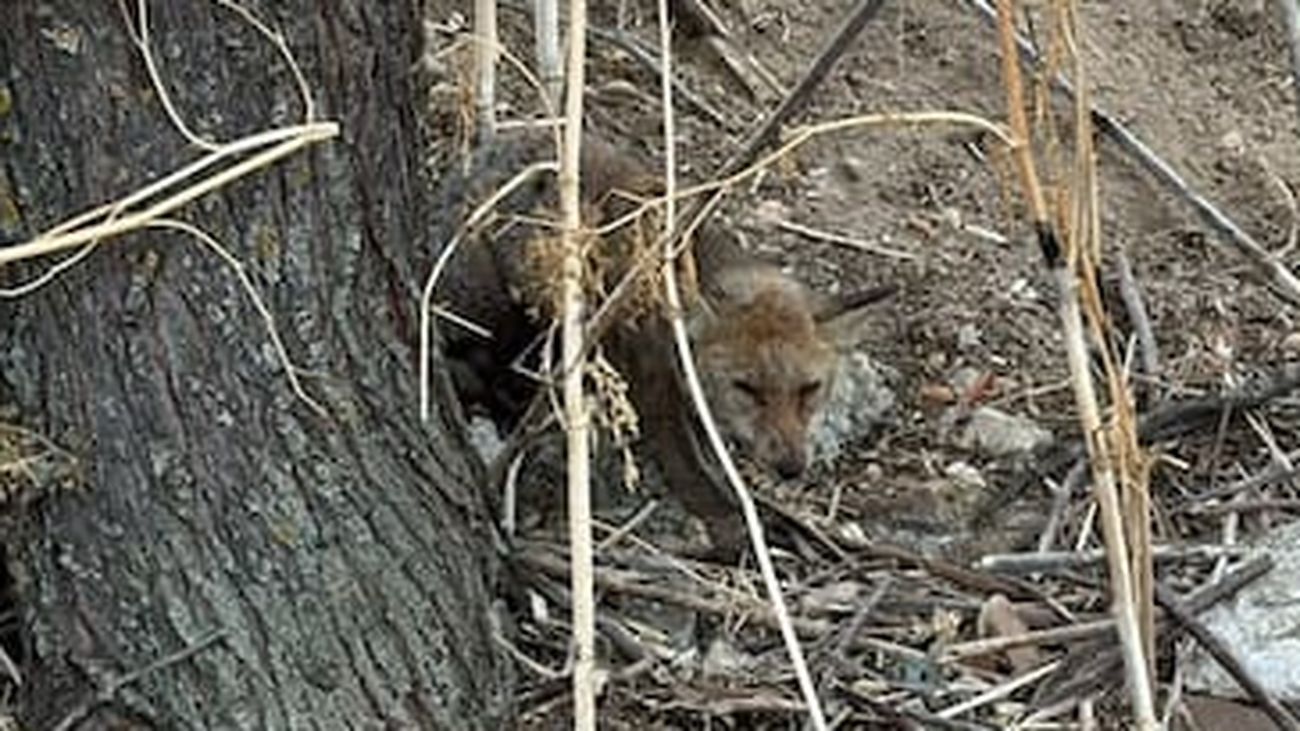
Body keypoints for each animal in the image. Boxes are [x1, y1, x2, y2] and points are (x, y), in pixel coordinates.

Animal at [437, 134, 889, 553]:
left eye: (809, 390)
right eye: (747, 388)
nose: (792, 467)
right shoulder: (654, 391)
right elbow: (697, 478)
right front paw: (738, 526)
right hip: (508, 311)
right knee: (480, 365)